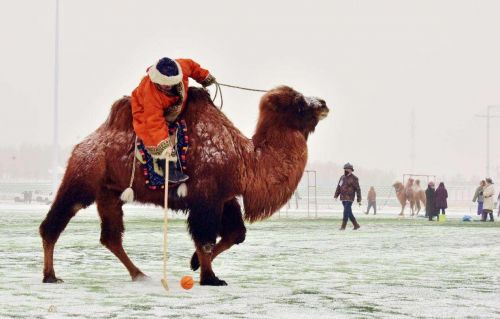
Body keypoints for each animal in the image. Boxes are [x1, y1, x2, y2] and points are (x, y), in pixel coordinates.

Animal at [39, 85, 328, 288]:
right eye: (299, 103)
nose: (323, 103)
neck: (246, 158)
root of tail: (84, 144)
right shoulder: (207, 196)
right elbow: (206, 239)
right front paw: (210, 278)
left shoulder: (225, 198)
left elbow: (235, 234)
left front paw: (195, 264)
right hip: (82, 177)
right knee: (54, 223)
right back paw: (50, 275)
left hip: (109, 193)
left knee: (110, 237)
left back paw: (140, 274)